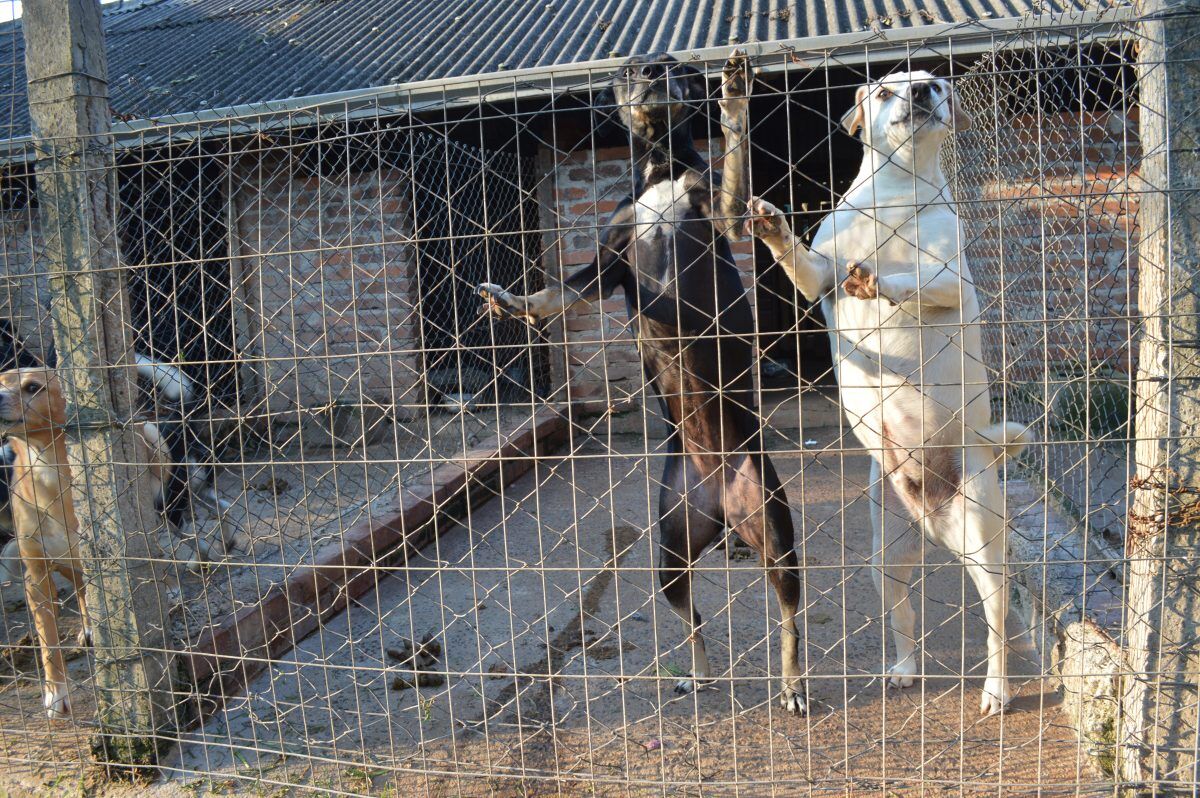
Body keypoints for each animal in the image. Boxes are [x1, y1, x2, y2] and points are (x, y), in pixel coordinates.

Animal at [480, 51, 844, 710]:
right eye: (627, 72)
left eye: (672, 67)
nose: (650, 77)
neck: (661, 173)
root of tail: (722, 502)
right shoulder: (606, 261)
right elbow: (554, 295)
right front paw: (511, 303)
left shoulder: (725, 212)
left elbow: (735, 157)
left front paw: (734, 95)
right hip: (670, 550)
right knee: (694, 618)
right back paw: (698, 672)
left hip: (776, 533)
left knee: (789, 619)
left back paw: (792, 683)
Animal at [744, 69, 1027, 715]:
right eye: (884, 91)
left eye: (938, 84)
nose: (922, 91)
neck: (896, 198)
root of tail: (931, 518)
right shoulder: (817, 275)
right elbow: (803, 260)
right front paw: (774, 225)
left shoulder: (946, 279)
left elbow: (911, 280)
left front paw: (877, 281)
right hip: (886, 557)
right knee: (904, 618)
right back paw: (903, 668)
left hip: (984, 549)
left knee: (996, 622)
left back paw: (996, 690)